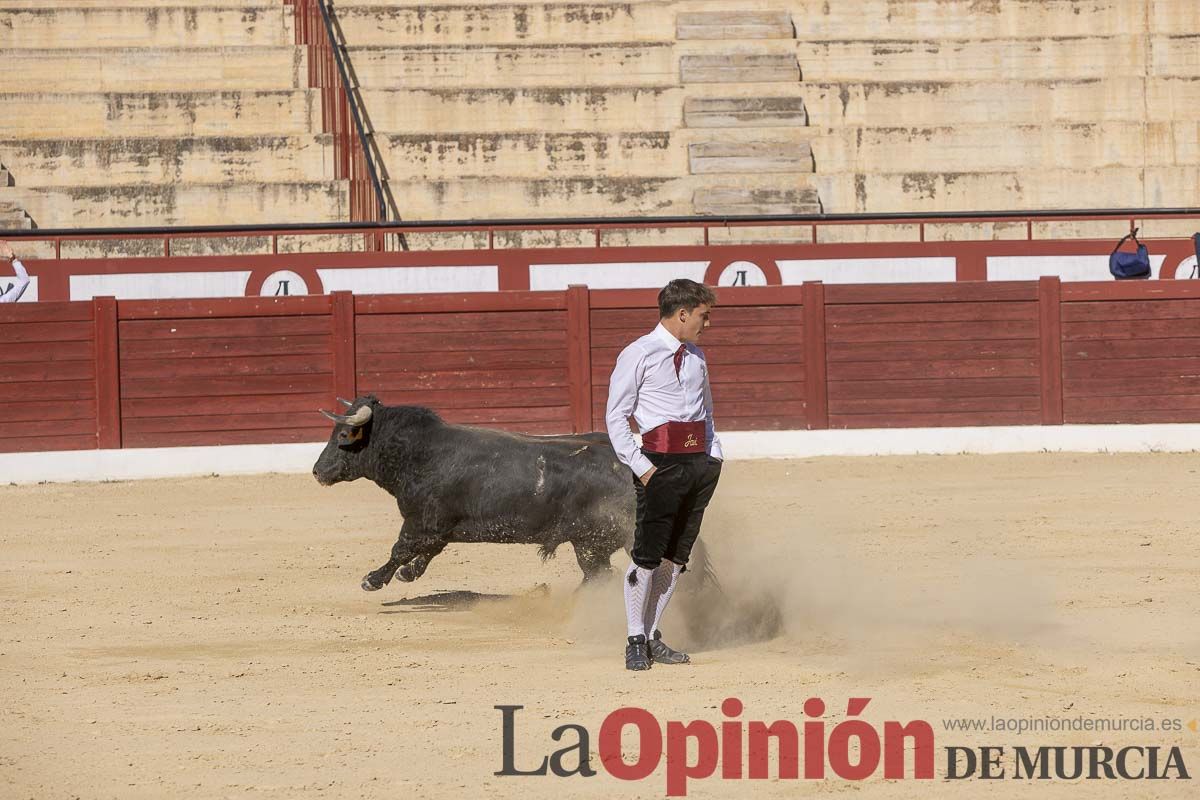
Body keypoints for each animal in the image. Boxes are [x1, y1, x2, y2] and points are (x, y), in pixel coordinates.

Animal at [312, 398, 710, 592]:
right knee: (598, 575)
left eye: (343, 435)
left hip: (607, 537)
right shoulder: (437, 530)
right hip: (589, 543)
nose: (317, 471)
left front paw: (372, 580)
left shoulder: (422, 522)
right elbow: (422, 556)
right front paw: (407, 576)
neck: (419, 453)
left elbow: (399, 549)